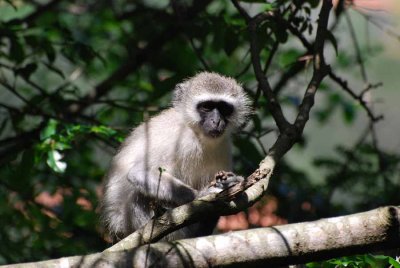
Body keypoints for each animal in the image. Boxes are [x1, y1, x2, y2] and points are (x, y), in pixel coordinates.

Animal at [101, 71, 252, 241]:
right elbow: (138, 173)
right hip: (134, 221)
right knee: (139, 194)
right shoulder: (175, 137)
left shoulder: (224, 145)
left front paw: (230, 183)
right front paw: (202, 195)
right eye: (206, 107)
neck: (196, 133)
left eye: (224, 108)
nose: (216, 121)